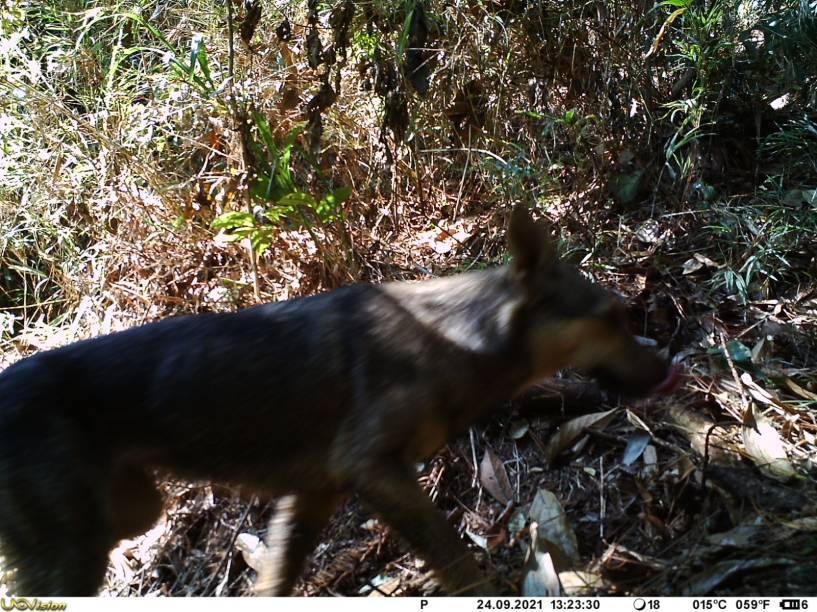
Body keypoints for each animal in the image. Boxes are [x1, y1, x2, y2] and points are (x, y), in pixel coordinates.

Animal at [0, 208, 676, 596]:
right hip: (82, 546)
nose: (671, 370)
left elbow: (273, 583)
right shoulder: (372, 470)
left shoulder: (317, 491)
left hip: (129, 515)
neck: (458, 335)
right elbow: (456, 559)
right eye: (613, 315)